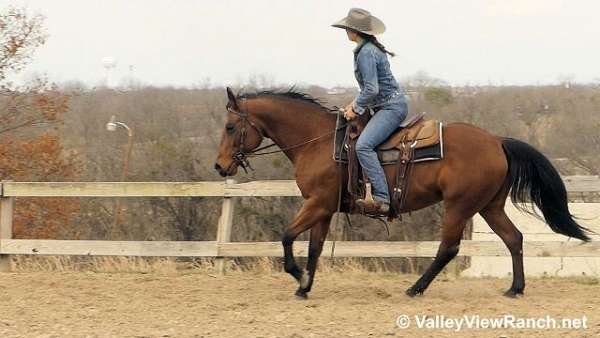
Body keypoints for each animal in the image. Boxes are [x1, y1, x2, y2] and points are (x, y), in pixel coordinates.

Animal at [212, 86, 592, 298]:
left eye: (230, 127)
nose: (219, 166)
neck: (318, 142)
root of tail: (496, 140)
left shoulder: (316, 204)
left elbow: (287, 236)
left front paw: (296, 275)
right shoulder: (323, 208)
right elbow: (315, 248)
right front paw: (304, 287)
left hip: (459, 206)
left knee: (448, 248)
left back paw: (415, 288)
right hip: (490, 206)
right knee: (514, 239)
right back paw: (515, 288)